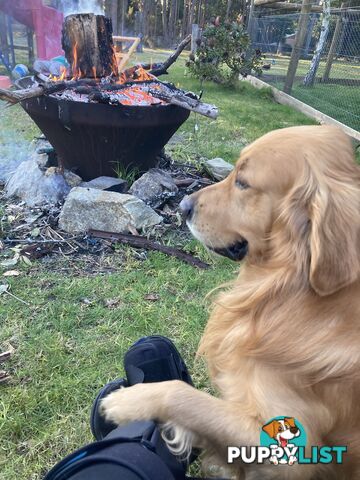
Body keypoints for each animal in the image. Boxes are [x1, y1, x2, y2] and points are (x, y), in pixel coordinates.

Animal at [101, 126, 360, 480]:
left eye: (243, 183)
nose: (183, 206)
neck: (285, 291)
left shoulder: (295, 454)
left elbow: (182, 393)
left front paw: (127, 401)